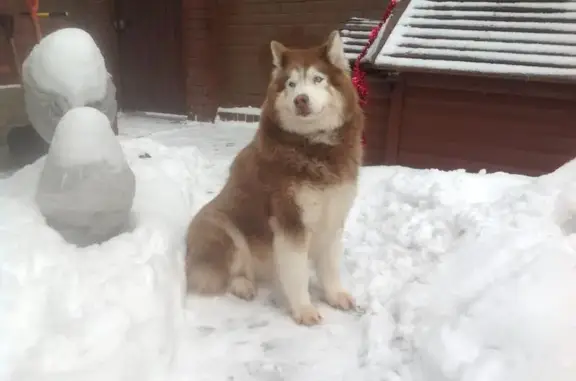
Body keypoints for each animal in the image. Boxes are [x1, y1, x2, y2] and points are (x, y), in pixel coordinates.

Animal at [186, 29, 364, 324]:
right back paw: (243, 285)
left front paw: (335, 295)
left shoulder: (333, 216)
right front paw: (304, 309)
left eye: (317, 79)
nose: (300, 99)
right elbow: (298, 272)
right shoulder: (290, 221)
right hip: (223, 227)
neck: (314, 147)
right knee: (224, 274)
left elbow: (329, 266)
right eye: (291, 84)